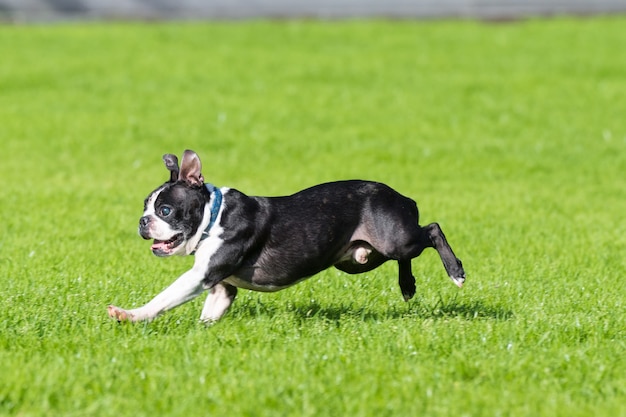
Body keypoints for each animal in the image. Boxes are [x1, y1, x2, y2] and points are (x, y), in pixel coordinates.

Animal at [107, 150, 464, 322]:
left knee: (431, 230)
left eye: (165, 210)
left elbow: (163, 298)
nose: (143, 221)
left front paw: (130, 315)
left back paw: (455, 272)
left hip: (395, 238)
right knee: (406, 254)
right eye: (145, 206)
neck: (213, 215)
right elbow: (209, 315)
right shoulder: (221, 288)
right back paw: (408, 286)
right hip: (357, 259)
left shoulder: (201, 275)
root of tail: (402, 196)